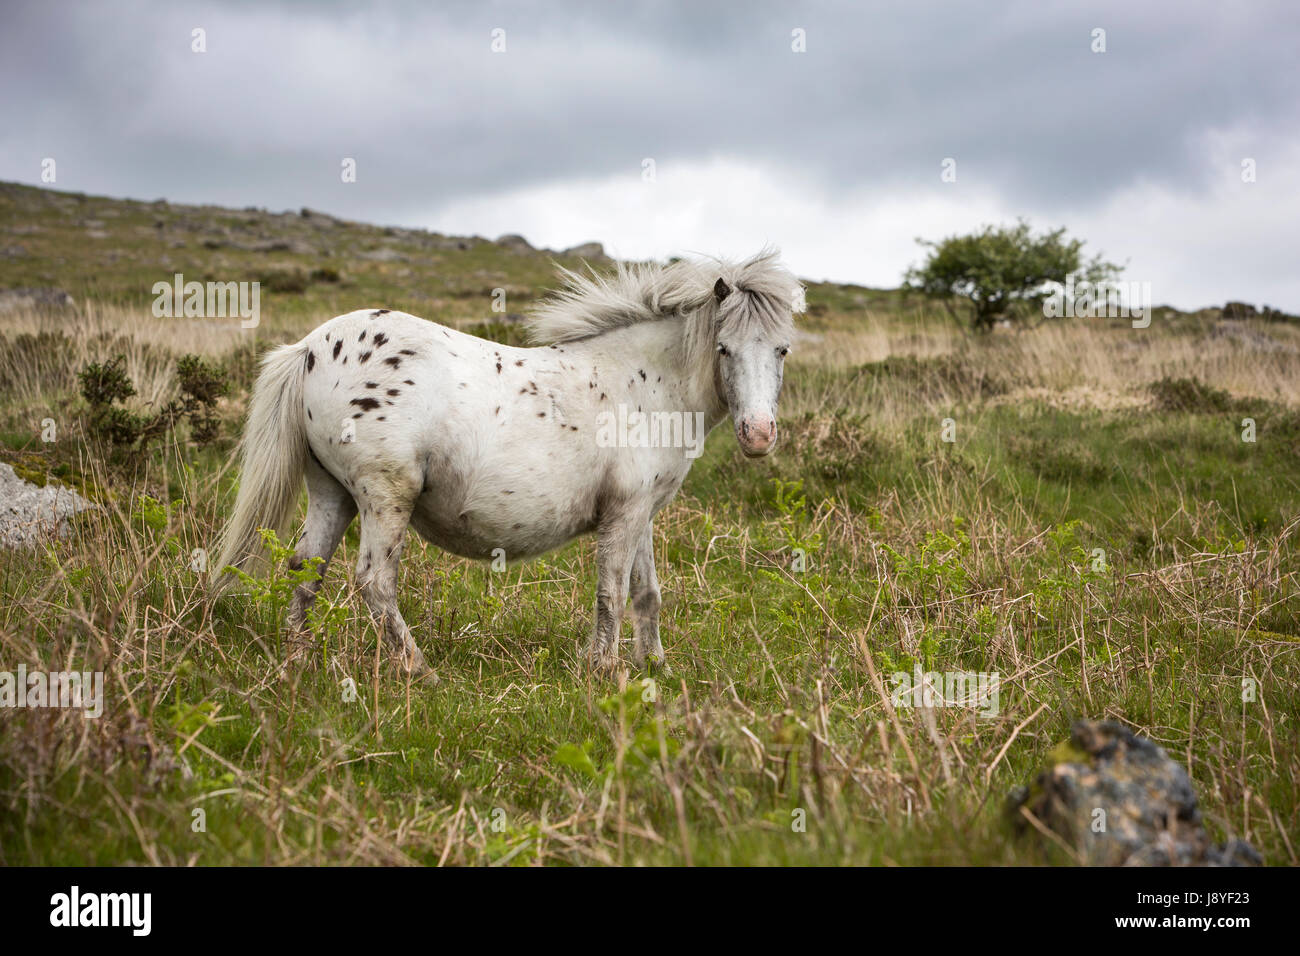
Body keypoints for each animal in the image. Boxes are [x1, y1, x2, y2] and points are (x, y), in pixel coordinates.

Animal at [214, 249, 802, 677]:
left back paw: (296, 664)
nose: (758, 435)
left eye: (782, 350)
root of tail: (309, 348)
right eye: (723, 348)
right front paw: (606, 672)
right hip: (385, 496)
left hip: (331, 494)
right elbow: (611, 593)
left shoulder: (640, 513)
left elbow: (646, 593)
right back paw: (419, 670)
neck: (644, 381)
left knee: (306, 568)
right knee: (374, 582)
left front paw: (656, 666)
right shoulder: (625, 514)